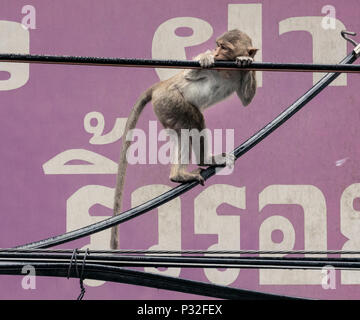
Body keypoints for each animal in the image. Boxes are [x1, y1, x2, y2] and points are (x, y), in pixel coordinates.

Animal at [111, 29, 258, 250]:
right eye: (217, 46)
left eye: (224, 47)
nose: (216, 52)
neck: (226, 70)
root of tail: (160, 86)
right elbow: (190, 75)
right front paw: (205, 57)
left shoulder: (239, 76)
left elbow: (247, 99)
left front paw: (245, 59)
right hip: (170, 100)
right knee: (195, 119)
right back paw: (203, 161)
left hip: (167, 111)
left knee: (184, 132)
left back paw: (178, 174)